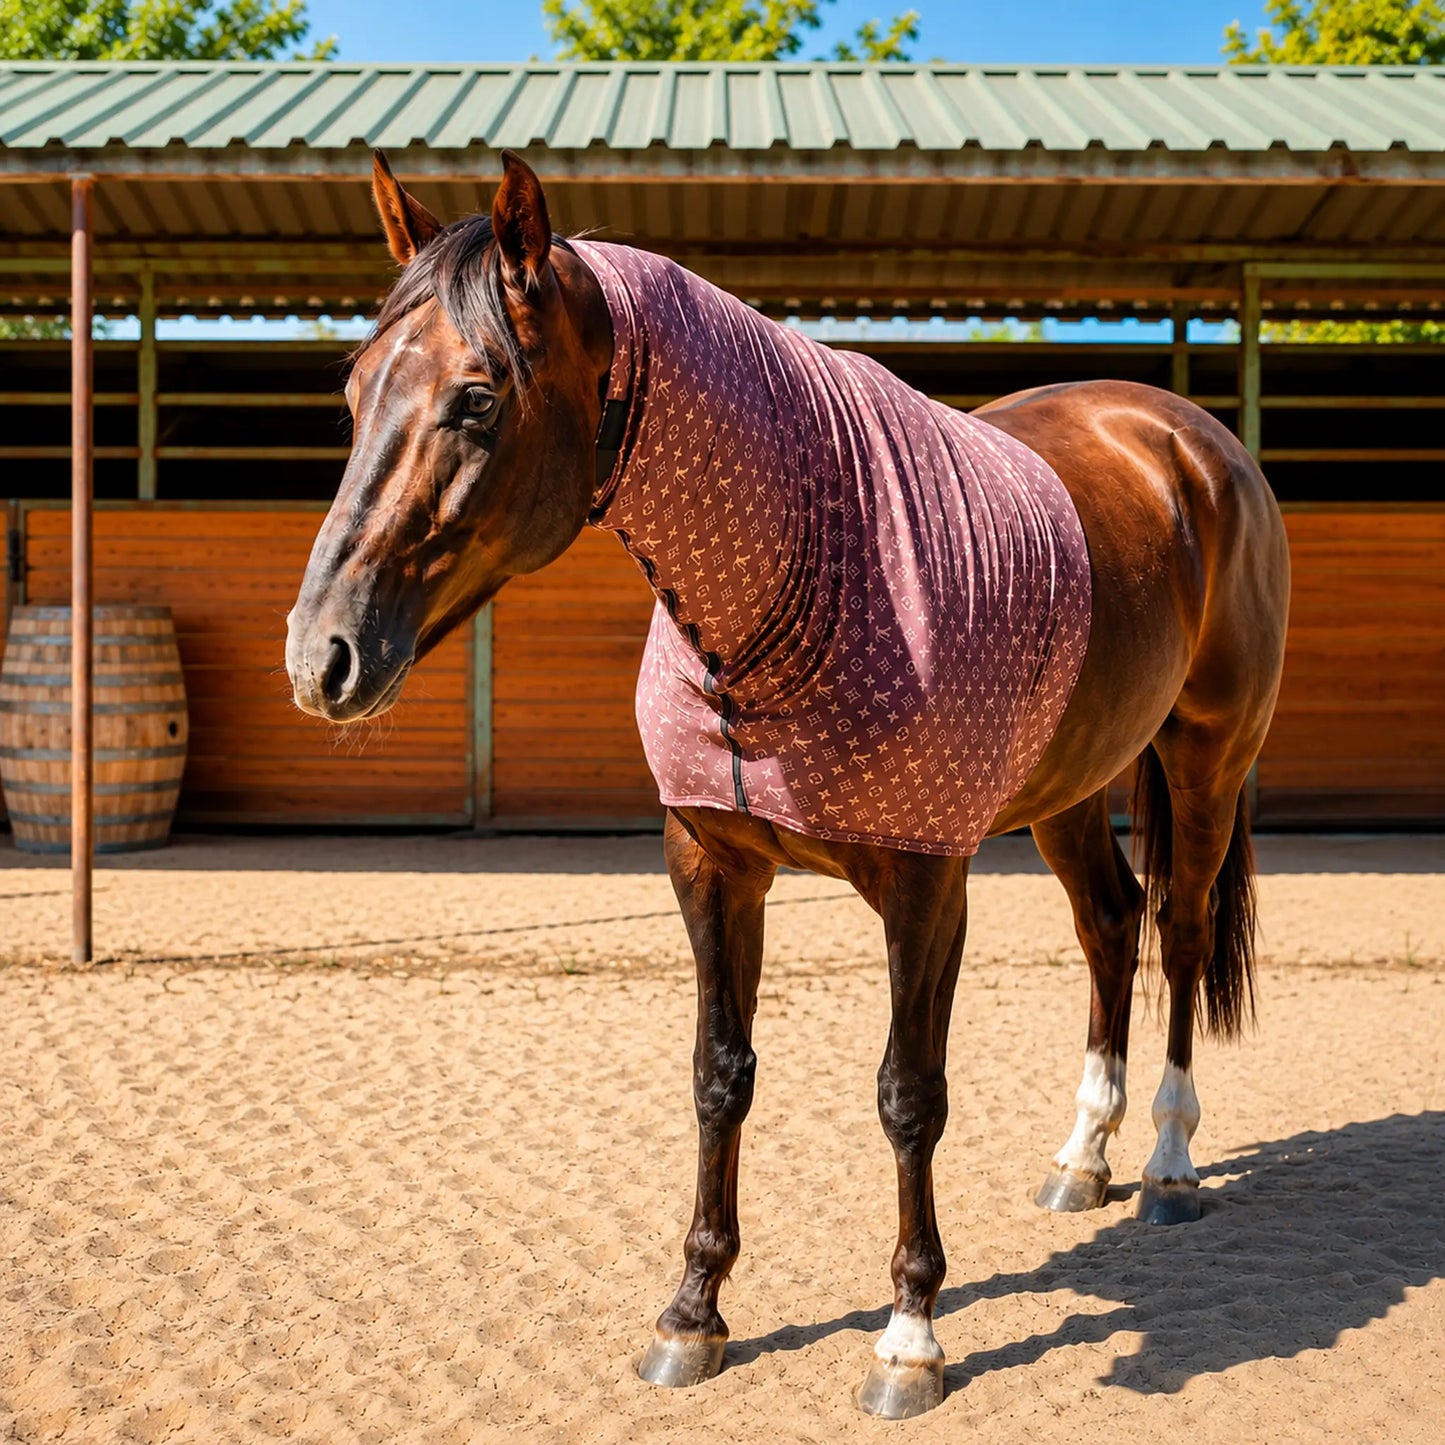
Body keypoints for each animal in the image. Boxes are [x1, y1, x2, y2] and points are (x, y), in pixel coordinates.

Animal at [286, 150, 1290, 1420]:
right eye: (355, 388)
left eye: (476, 395)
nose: (320, 654)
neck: (792, 587)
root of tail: (1187, 439)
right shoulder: (714, 868)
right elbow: (719, 1076)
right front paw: (690, 1314)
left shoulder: (925, 885)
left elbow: (909, 1092)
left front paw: (908, 1337)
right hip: (1072, 781)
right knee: (1110, 928)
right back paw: (1083, 1157)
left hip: (1206, 755)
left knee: (1181, 931)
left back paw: (1164, 1162)